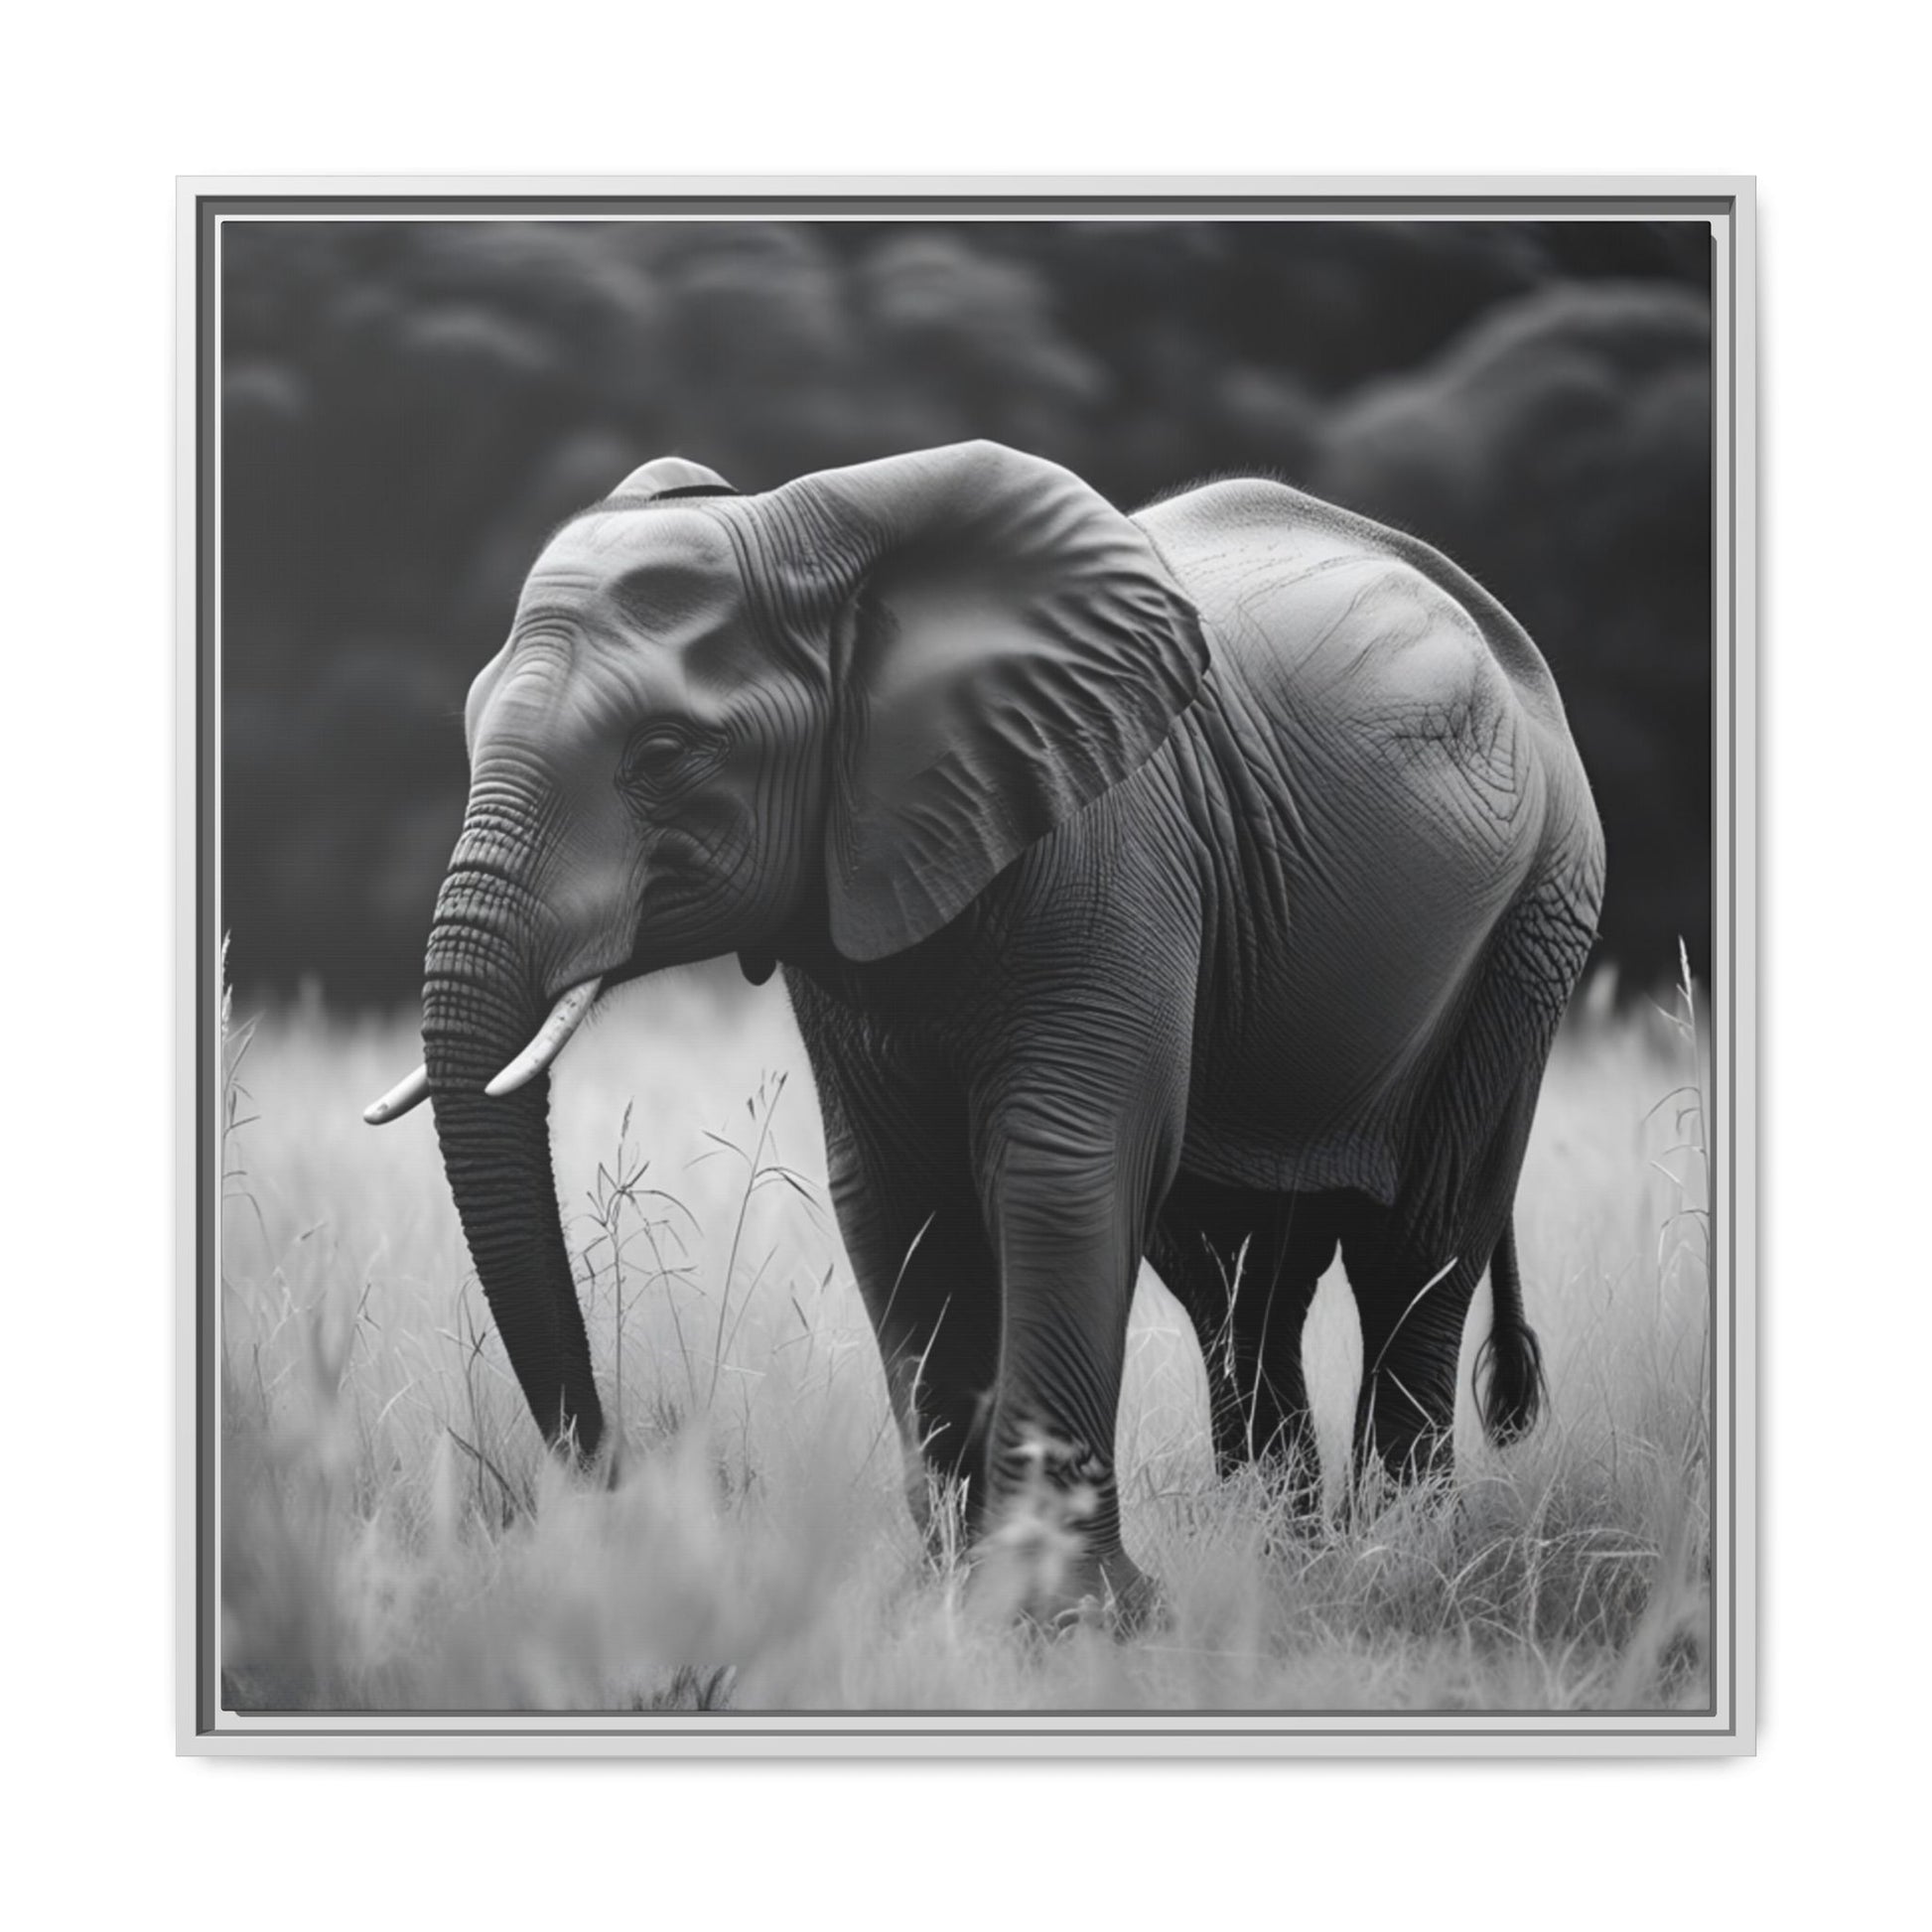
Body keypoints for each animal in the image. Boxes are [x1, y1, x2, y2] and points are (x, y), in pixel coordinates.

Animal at [364, 440, 1604, 1624]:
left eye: (664, 753)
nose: (630, 1492)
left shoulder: (1109, 846)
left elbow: (1059, 1168)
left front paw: (1062, 1620)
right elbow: (891, 1195)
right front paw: (948, 1601)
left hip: (1533, 921)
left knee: (1418, 1242)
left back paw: (1399, 1560)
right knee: (1234, 1274)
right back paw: (1282, 1557)